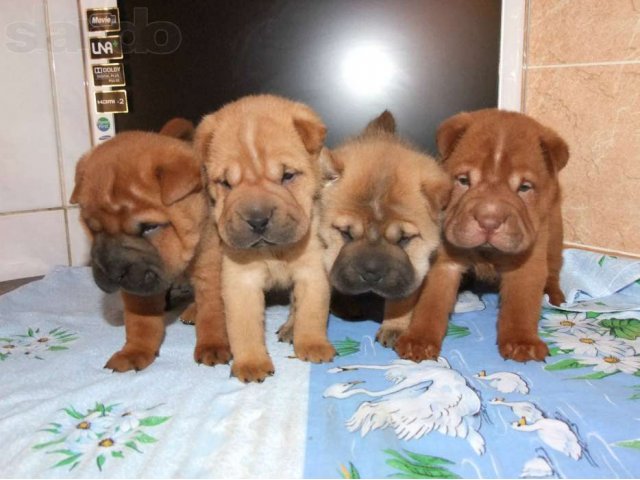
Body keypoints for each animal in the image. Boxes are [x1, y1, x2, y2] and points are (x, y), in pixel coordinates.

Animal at [71, 119, 230, 372]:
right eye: (92, 228)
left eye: (149, 227)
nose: (113, 271)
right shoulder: (139, 285)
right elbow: (141, 323)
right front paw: (135, 352)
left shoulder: (210, 269)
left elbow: (213, 313)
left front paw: (212, 346)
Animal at [194, 94, 336, 382]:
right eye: (226, 183)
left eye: (287, 176)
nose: (258, 220)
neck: (273, 252)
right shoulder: (240, 279)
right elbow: (244, 326)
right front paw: (251, 363)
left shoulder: (311, 270)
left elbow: (311, 312)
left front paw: (313, 345)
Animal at [318, 110, 450, 340]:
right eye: (346, 234)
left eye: (404, 239)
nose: (371, 272)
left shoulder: (416, 267)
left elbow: (402, 299)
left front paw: (394, 327)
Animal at [392, 109, 568, 362]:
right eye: (464, 180)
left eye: (524, 187)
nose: (489, 221)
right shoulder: (443, 263)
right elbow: (431, 303)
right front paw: (419, 340)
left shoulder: (527, 261)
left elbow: (521, 305)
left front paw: (522, 342)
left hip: (554, 235)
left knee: (553, 268)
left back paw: (554, 295)